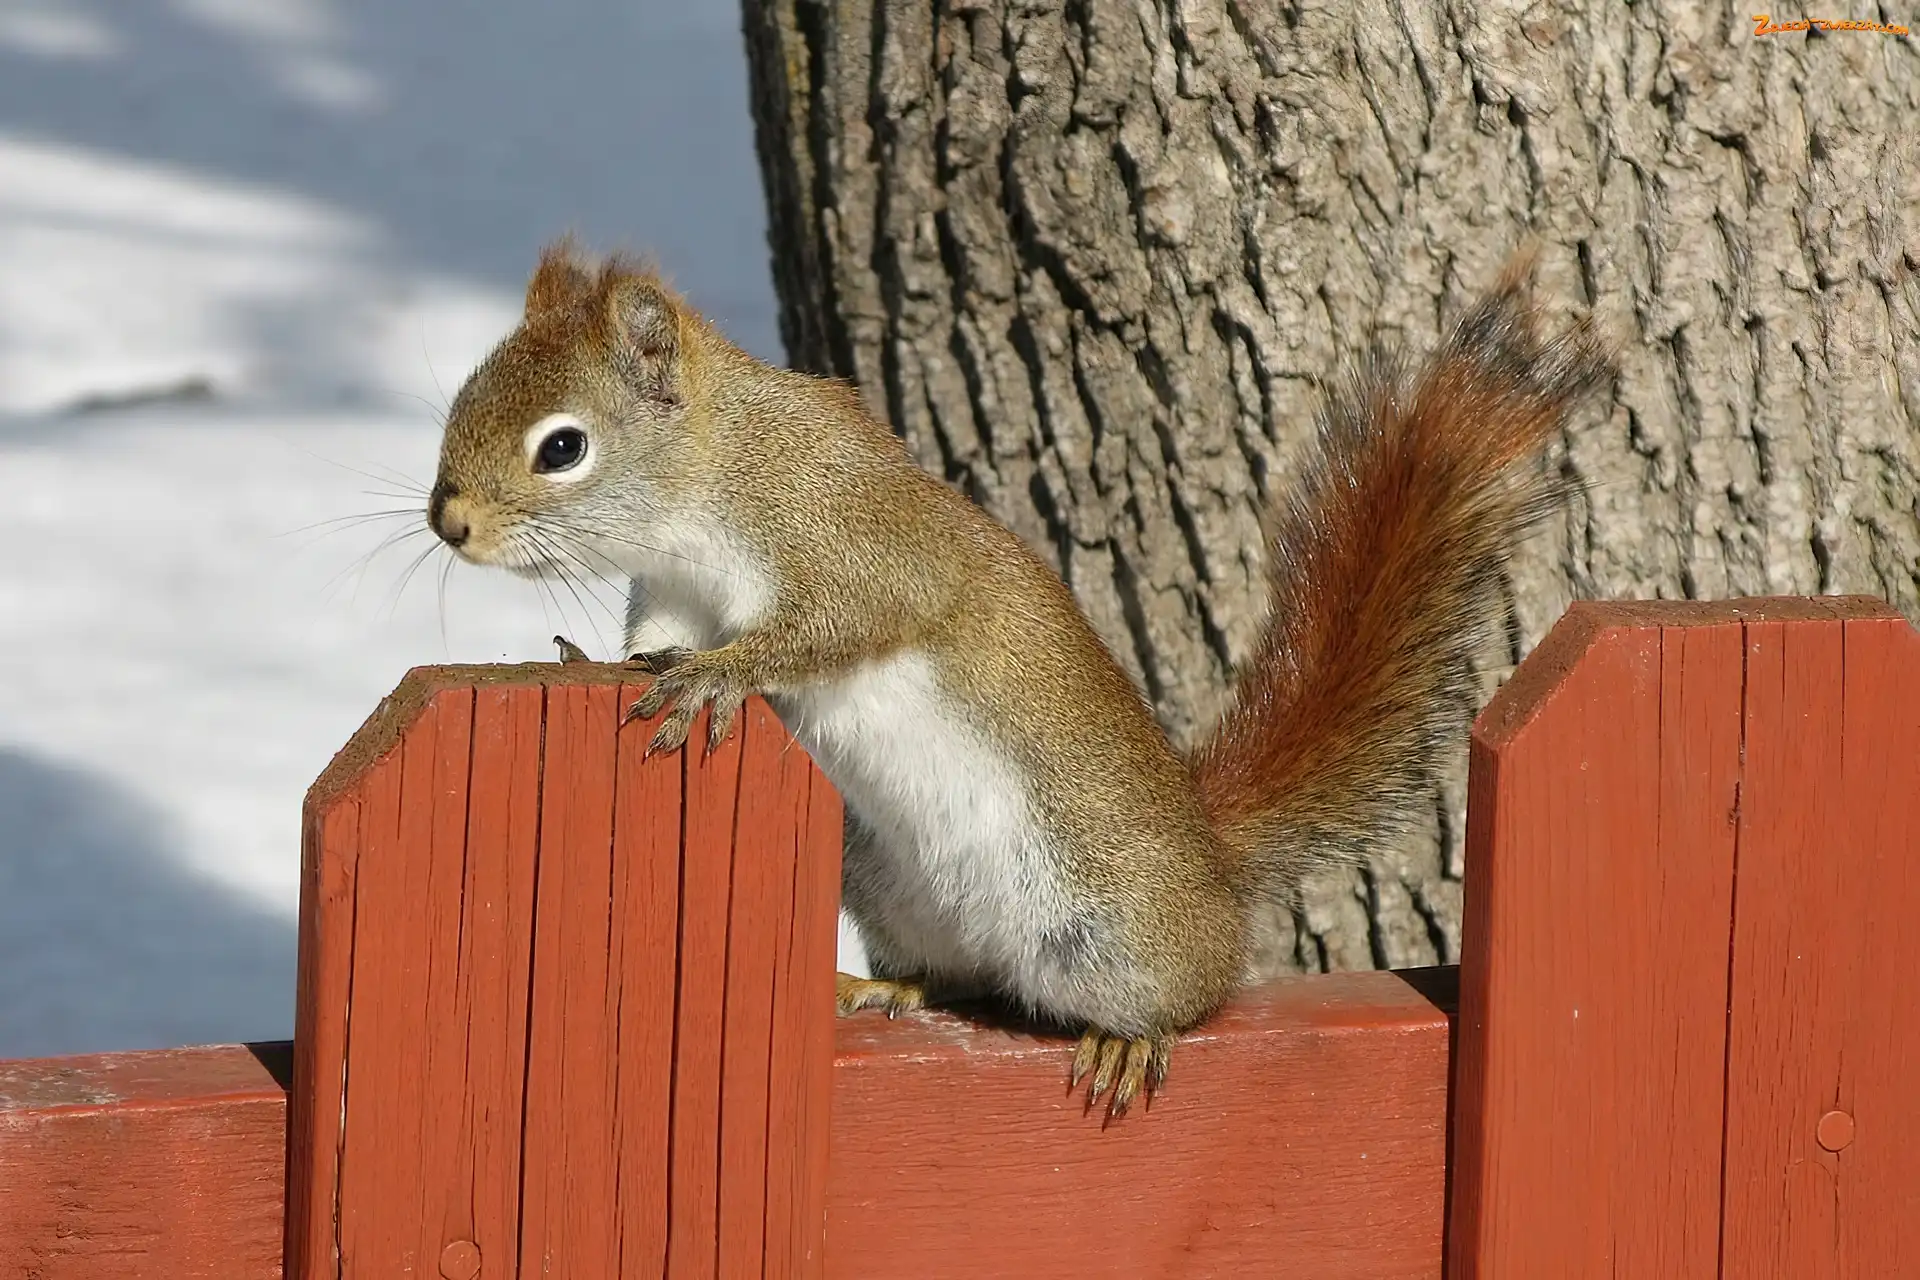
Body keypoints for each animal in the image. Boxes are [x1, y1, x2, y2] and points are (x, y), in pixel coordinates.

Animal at [426, 239, 1609, 1117]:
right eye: (462, 397)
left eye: (563, 447)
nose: (449, 524)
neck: (715, 476)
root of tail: (1211, 863)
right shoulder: (673, 588)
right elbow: (650, 639)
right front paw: (595, 660)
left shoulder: (857, 541)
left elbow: (837, 624)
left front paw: (721, 677)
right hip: (889, 882)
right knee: (964, 979)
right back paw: (882, 986)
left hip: (1118, 928)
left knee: (1195, 991)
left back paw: (1133, 1038)